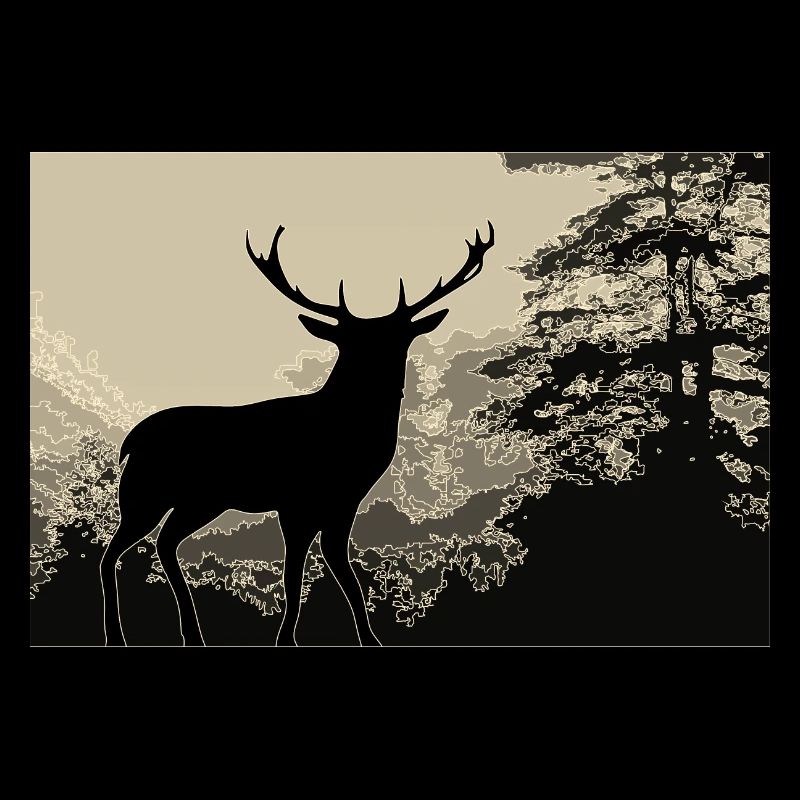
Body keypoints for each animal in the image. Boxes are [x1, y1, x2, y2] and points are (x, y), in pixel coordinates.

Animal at [101, 221, 495, 646]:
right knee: (113, 553)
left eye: (399, 338)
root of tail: (130, 443)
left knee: (165, 541)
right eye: (349, 343)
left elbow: (345, 574)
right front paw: (285, 639)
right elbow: (293, 576)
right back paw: (116, 637)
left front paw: (370, 639)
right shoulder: (295, 502)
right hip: (147, 492)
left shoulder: (343, 504)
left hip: (201, 500)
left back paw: (193, 635)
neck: (347, 440)